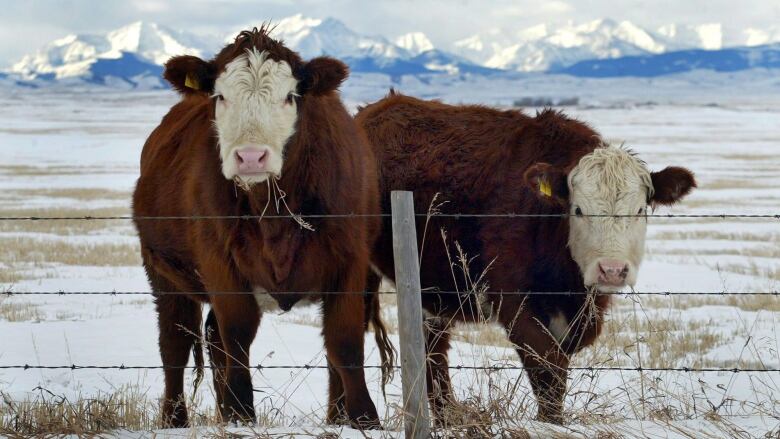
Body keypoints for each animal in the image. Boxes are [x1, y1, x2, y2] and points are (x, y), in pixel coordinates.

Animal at [133, 28, 394, 430]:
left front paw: (364, 420)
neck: (273, 216)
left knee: (211, 338)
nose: (251, 157)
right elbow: (237, 334)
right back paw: (175, 420)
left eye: (289, 96)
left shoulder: (350, 261)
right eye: (220, 96)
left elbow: (344, 341)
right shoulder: (220, 262)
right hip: (162, 272)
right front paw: (241, 413)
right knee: (176, 342)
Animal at [356, 93, 696, 426]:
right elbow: (546, 370)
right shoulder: (513, 303)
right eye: (578, 210)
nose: (612, 271)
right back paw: (361, 418)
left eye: (639, 210)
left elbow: (558, 371)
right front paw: (550, 424)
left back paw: (447, 417)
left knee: (432, 348)